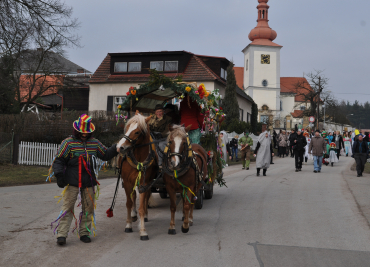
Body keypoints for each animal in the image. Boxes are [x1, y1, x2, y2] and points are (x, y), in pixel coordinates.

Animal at [116, 111, 158, 241]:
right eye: (128, 127)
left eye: (137, 132)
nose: (119, 147)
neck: (138, 159)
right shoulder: (127, 182)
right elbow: (129, 203)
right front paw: (128, 224)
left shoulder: (144, 183)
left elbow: (142, 207)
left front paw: (143, 231)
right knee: (133, 196)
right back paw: (133, 215)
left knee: (145, 197)